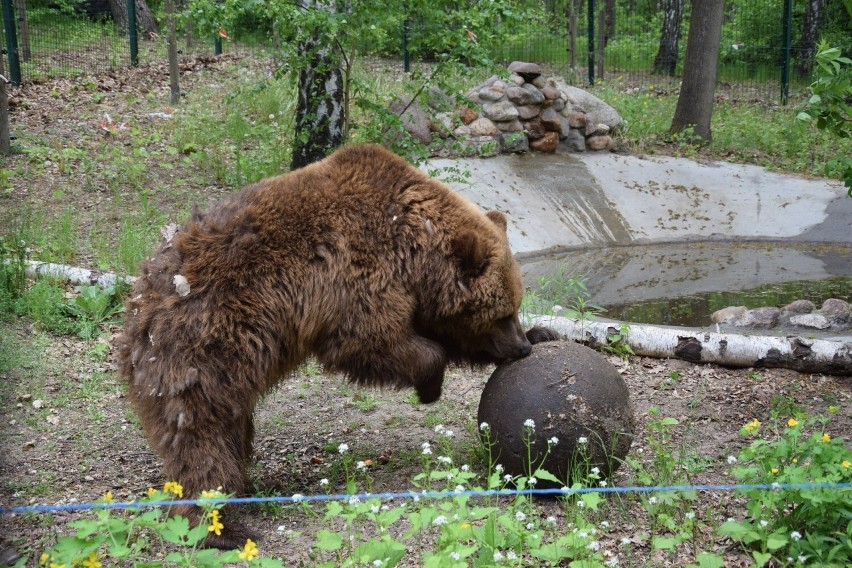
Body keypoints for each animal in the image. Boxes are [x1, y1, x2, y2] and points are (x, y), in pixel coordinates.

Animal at [116, 142, 556, 544]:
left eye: (515, 306)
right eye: (501, 313)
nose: (521, 349)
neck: (412, 247)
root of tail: (139, 298)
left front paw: (545, 333)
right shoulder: (359, 275)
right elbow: (371, 341)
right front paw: (430, 383)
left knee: (231, 430)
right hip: (205, 345)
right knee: (203, 438)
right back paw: (219, 527)